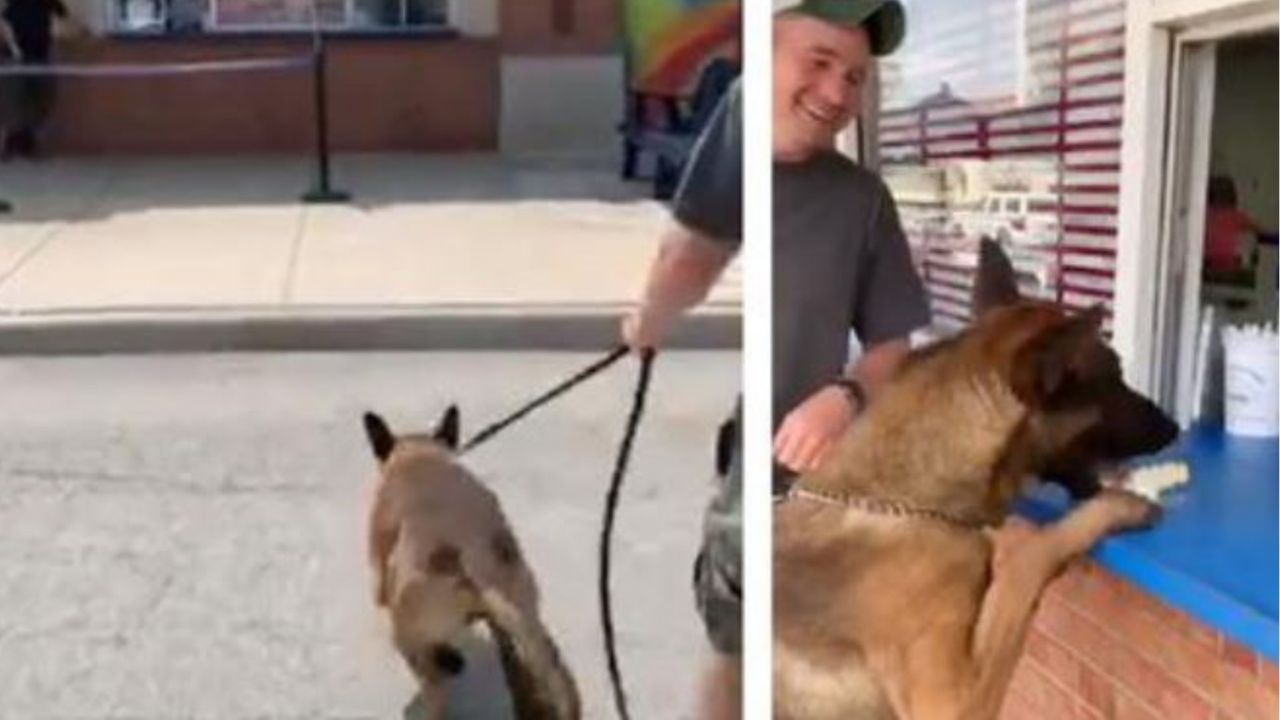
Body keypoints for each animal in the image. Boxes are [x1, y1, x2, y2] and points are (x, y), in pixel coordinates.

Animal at [768, 239, 1177, 717]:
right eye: (1114, 376)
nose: (1175, 427)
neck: (907, 501)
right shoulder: (952, 701)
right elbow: (1026, 562)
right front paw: (1115, 508)